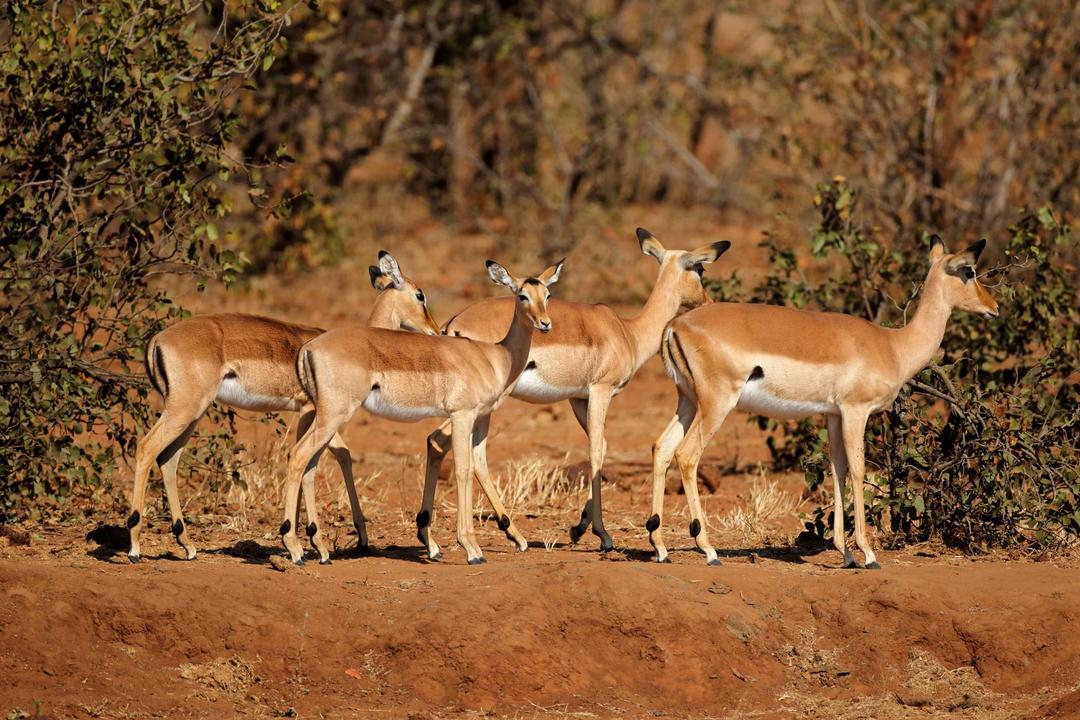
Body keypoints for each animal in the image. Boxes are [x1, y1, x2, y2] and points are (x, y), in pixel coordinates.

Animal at [127, 252, 439, 563]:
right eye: (420, 294)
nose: (435, 331)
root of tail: (158, 339)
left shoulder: (306, 415)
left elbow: (316, 462)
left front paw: (304, 538)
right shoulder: (312, 411)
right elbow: (334, 458)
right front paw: (326, 541)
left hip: (191, 414)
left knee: (167, 459)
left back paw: (187, 545)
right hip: (185, 409)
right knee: (145, 447)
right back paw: (135, 547)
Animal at [282, 258, 563, 565]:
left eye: (547, 295)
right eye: (522, 295)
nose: (546, 323)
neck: (495, 356)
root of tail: (308, 348)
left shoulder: (481, 418)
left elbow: (479, 465)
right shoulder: (462, 415)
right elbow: (463, 470)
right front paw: (471, 549)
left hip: (324, 418)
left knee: (308, 464)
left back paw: (318, 551)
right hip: (333, 415)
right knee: (298, 457)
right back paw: (294, 548)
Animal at [428, 228, 730, 552]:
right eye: (700, 269)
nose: (709, 301)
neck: (628, 332)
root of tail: (453, 323)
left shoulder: (578, 398)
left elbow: (602, 447)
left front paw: (579, 527)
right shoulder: (601, 391)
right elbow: (596, 451)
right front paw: (603, 535)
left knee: (461, 450)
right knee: (445, 442)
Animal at [648, 235, 999, 568]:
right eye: (969, 271)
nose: (993, 307)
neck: (894, 346)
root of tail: (674, 325)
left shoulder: (834, 414)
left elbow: (837, 469)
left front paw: (846, 553)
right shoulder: (856, 411)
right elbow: (858, 469)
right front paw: (868, 554)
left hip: (688, 401)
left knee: (662, 447)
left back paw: (661, 547)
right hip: (716, 404)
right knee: (687, 455)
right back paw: (708, 550)